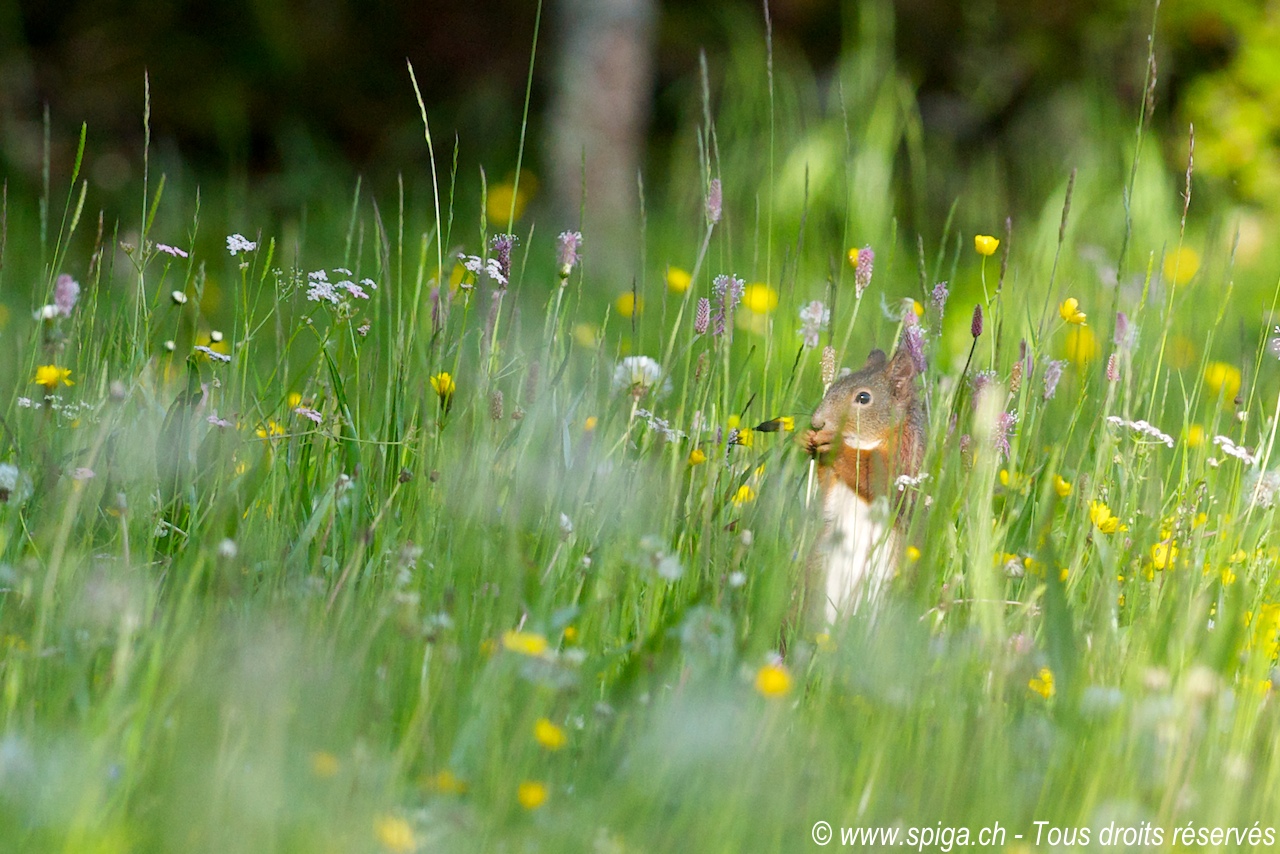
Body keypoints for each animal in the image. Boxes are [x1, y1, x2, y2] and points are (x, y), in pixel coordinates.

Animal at [798, 348, 921, 622]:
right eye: (835, 385)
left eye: (863, 398)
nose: (817, 423)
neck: (865, 440)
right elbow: (827, 497)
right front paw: (808, 439)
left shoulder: (905, 458)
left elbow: (875, 475)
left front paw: (834, 445)